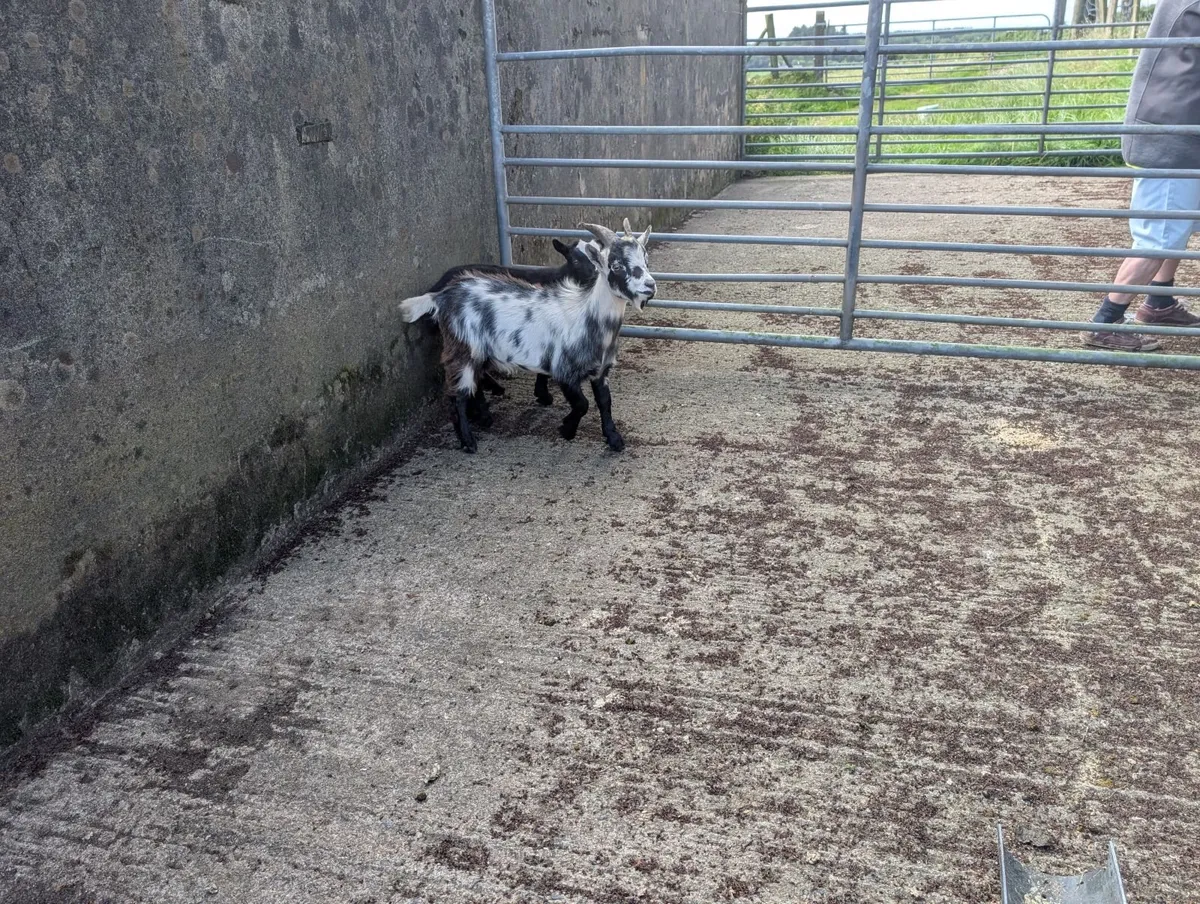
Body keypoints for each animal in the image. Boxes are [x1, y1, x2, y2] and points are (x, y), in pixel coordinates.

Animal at [400, 220, 655, 454]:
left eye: (646, 261)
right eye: (616, 265)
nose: (650, 286)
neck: (587, 315)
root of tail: (442, 295)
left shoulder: (601, 371)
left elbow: (605, 403)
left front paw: (614, 439)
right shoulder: (564, 370)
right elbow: (582, 404)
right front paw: (567, 429)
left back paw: (483, 417)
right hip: (463, 348)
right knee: (458, 395)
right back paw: (468, 441)